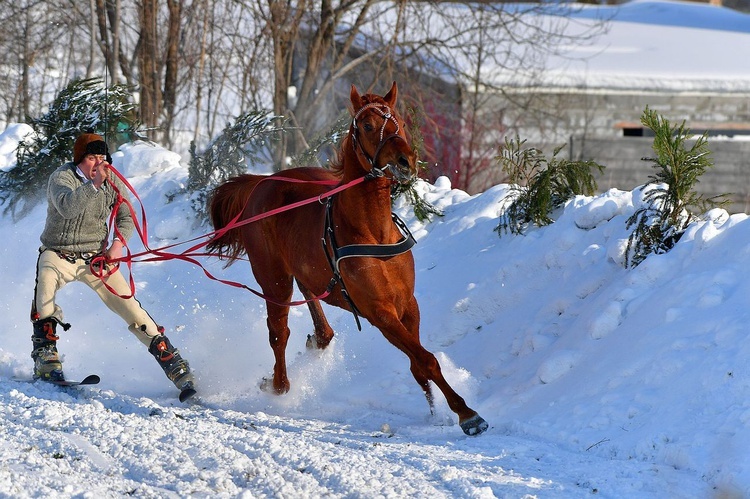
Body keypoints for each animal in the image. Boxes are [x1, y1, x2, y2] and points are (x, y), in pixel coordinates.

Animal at [207, 81, 488, 434]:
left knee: (314, 308)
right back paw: (278, 384)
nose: (405, 161)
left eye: (399, 121)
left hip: (305, 269)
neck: (374, 231)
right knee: (278, 332)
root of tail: (263, 182)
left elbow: (419, 361)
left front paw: (436, 406)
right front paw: (466, 413)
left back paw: (316, 341)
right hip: (274, 279)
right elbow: (425, 358)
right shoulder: (380, 312)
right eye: (367, 125)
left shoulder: (407, 304)